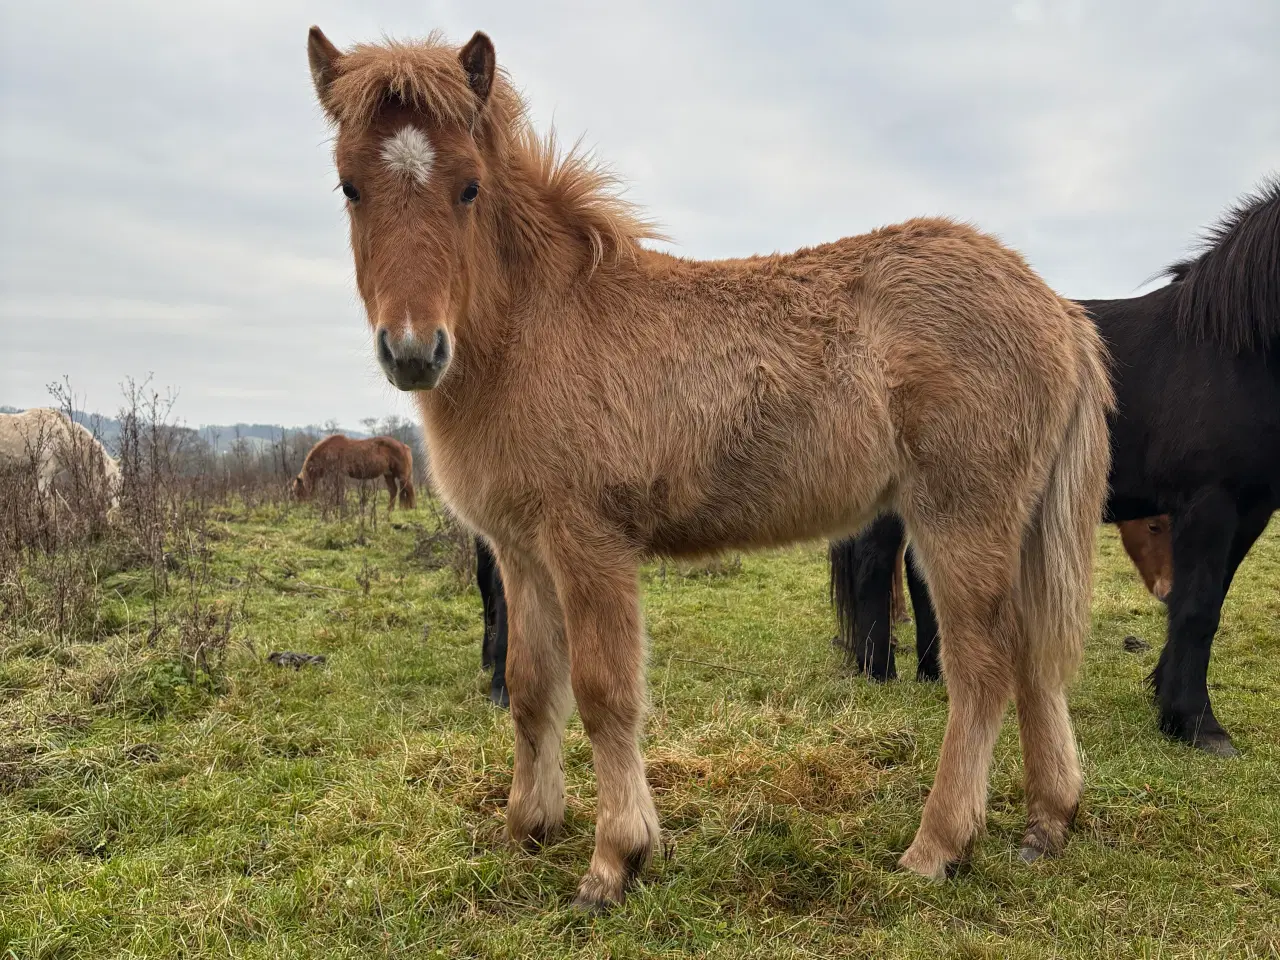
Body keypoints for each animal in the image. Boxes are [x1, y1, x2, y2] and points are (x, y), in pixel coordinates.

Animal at [307, 26, 1111, 906]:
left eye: (469, 188)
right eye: (350, 187)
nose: (414, 351)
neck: (534, 332)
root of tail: (1058, 309)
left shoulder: (590, 543)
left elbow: (604, 692)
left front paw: (614, 860)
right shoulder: (520, 551)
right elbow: (529, 687)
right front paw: (528, 827)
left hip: (960, 517)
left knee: (982, 666)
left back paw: (938, 845)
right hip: (1017, 524)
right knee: (1034, 655)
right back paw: (1047, 821)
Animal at [829, 176, 1280, 757]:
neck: (1232, 347)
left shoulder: (1251, 509)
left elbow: (1206, 602)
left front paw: (1169, 701)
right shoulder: (1209, 502)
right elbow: (1199, 607)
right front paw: (1197, 723)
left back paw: (934, 670)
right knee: (874, 561)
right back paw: (877, 670)